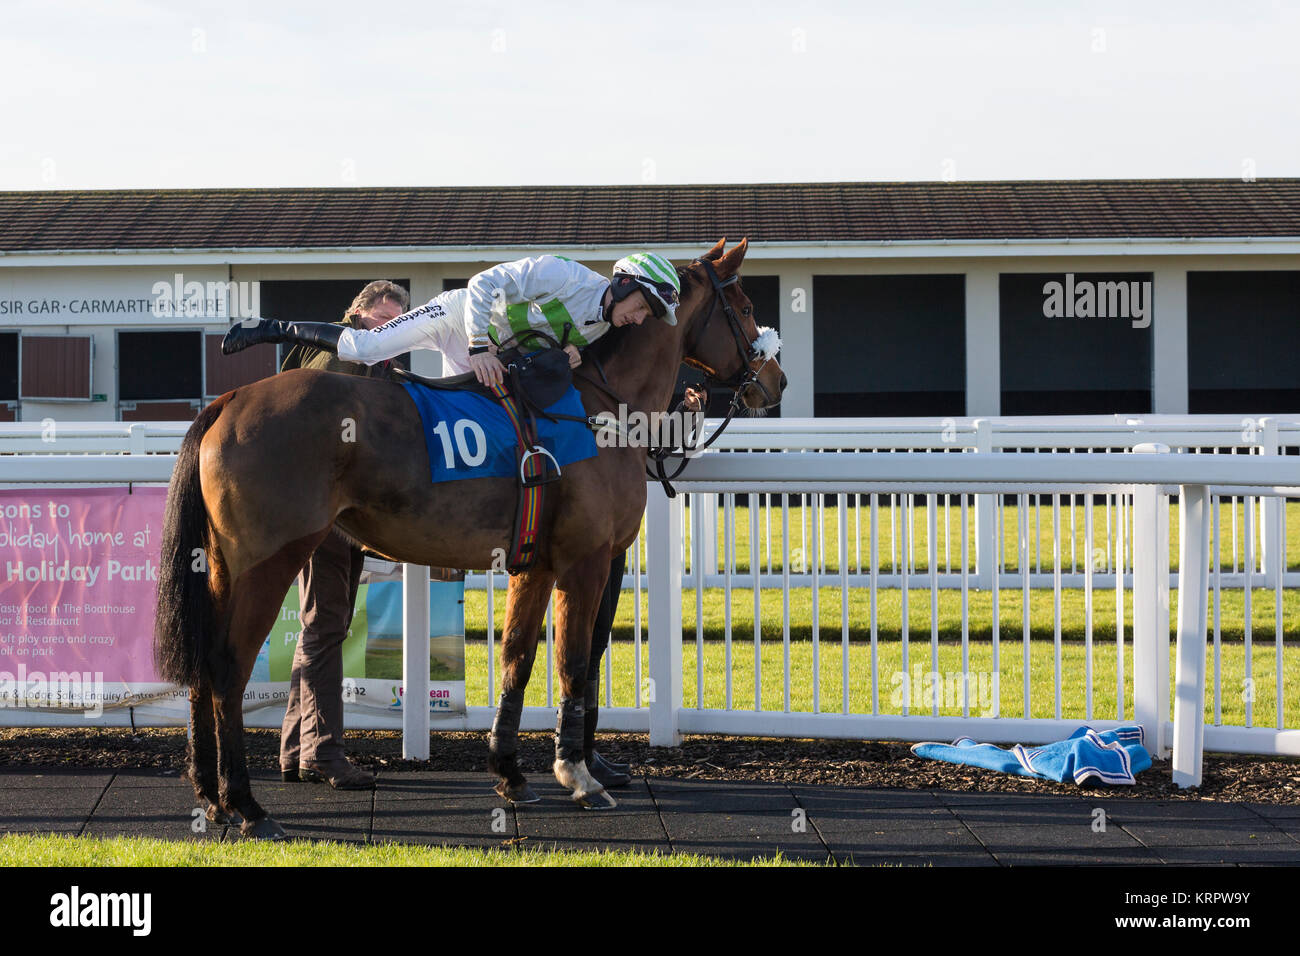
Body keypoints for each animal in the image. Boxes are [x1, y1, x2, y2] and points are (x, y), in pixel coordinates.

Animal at [152, 239, 780, 837]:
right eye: (748, 309)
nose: (776, 380)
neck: (600, 406)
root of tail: (229, 400)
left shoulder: (537, 564)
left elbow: (517, 658)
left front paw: (510, 773)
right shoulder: (586, 560)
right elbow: (575, 662)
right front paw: (578, 775)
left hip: (221, 565)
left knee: (202, 665)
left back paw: (210, 797)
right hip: (268, 560)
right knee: (228, 667)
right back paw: (247, 804)